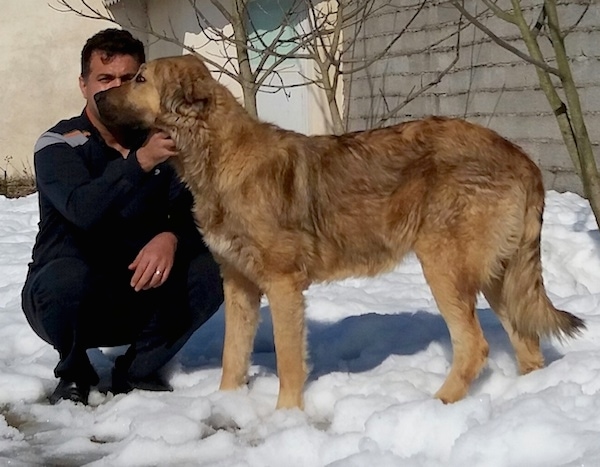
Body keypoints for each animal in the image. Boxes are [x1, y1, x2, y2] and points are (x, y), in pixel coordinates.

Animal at [96, 53, 584, 408]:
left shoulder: (283, 285)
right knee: (527, 343)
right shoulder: (239, 285)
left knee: (475, 346)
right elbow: (232, 359)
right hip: (497, 275)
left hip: (445, 267)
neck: (216, 156)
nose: (97, 99)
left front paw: (286, 420)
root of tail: (521, 156)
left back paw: (433, 406)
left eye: (139, 79)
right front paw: (227, 407)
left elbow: (290, 362)